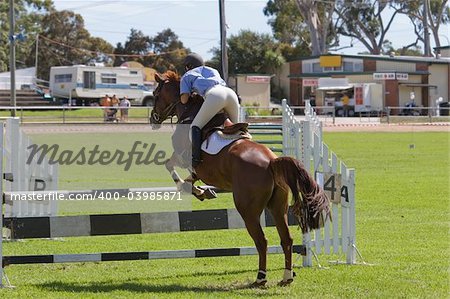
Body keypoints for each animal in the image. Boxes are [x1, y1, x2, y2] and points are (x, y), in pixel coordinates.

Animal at [149, 71, 328, 288]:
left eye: (155, 94)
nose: (153, 118)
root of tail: (271, 161)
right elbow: (190, 177)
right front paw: (202, 191)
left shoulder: (182, 157)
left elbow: (170, 167)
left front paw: (192, 189)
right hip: (278, 207)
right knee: (287, 239)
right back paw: (286, 276)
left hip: (247, 210)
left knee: (261, 241)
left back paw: (261, 278)